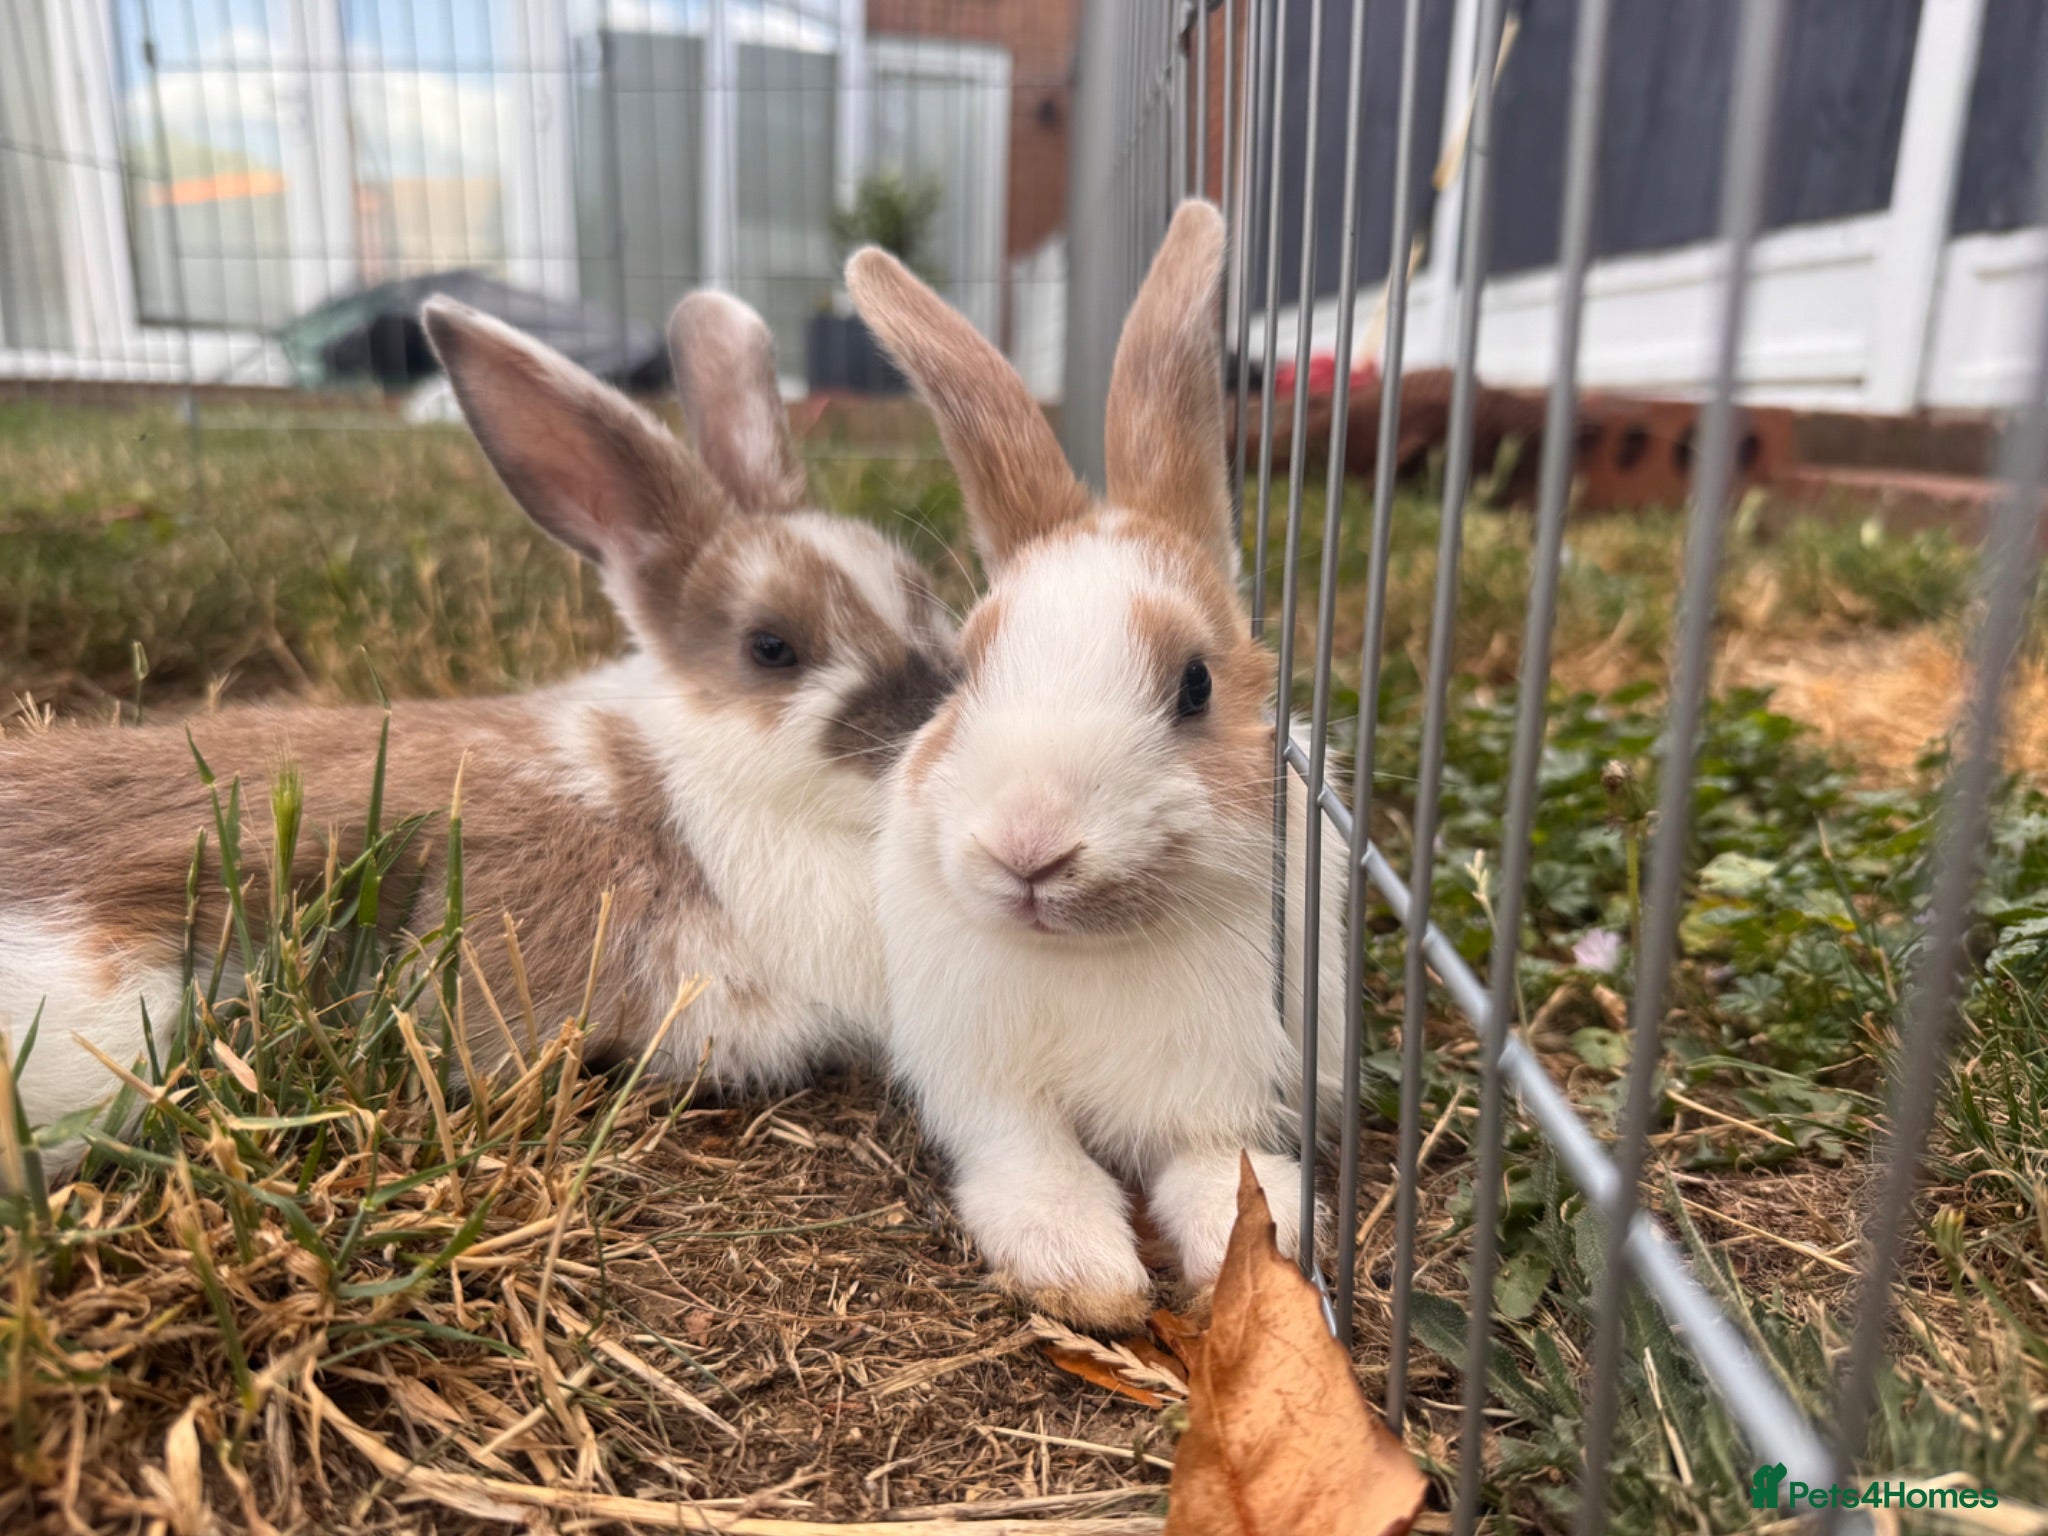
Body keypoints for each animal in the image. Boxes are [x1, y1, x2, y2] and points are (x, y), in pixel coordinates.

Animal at [846, 199, 1350, 1331]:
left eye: (1196, 685)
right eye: (965, 670)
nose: (1027, 847)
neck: (1092, 954)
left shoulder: (1225, 1088)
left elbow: (1225, 1177)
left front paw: (1250, 1253)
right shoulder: (987, 1088)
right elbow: (1034, 1162)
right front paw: (1081, 1273)